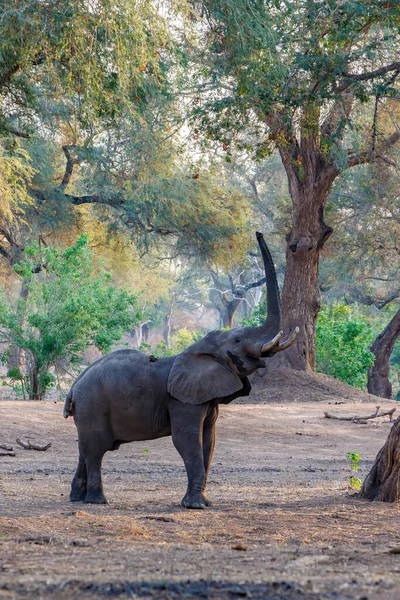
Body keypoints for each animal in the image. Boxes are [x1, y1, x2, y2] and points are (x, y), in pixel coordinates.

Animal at [64, 232, 296, 508]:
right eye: (238, 341)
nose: (258, 233)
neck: (197, 350)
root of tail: (72, 388)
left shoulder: (206, 398)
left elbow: (209, 442)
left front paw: (204, 503)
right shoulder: (183, 401)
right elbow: (187, 441)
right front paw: (195, 506)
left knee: (84, 449)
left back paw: (77, 498)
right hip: (93, 405)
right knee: (96, 450)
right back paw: (97, 501)